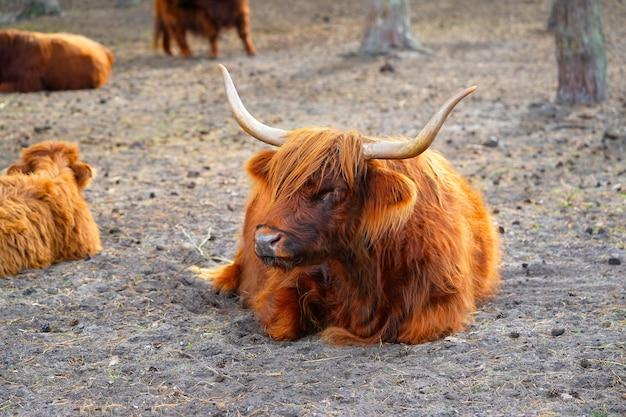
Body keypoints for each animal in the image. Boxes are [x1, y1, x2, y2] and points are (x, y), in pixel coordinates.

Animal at [194, 66, 498, 344]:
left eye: (332, 190)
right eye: (280, 185)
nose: (265, 240)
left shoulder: (441, 301)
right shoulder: (281, 285)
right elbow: (281, 324)